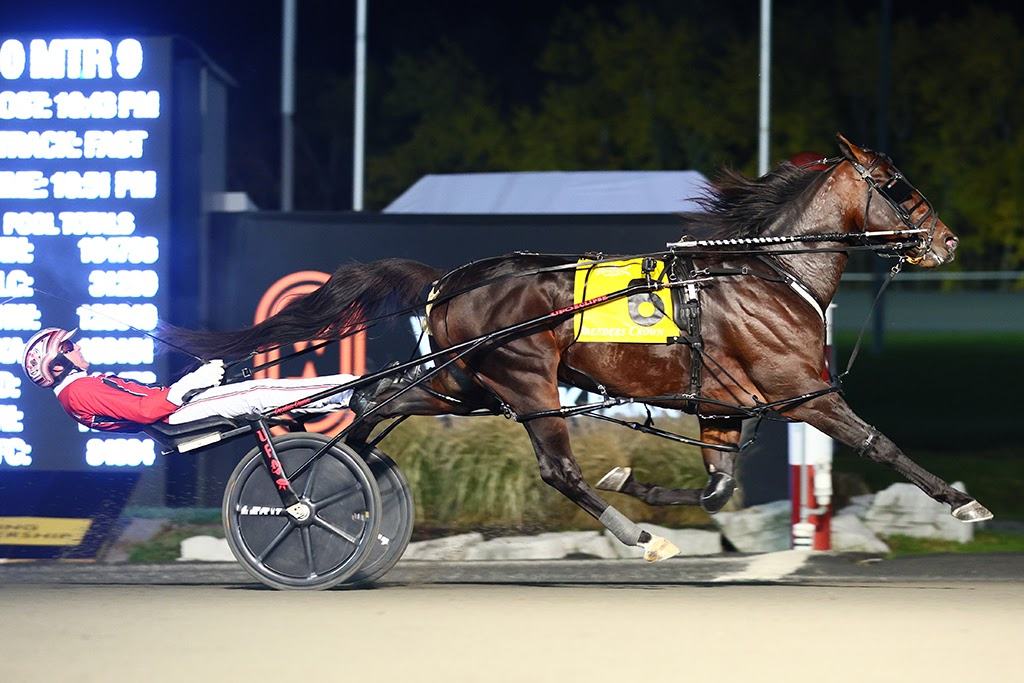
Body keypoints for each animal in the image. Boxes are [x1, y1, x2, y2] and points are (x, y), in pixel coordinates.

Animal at [174, 135, 991, 561]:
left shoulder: (725, 409)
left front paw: (636, 480)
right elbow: (880, 443)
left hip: (459, 382)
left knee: (375, 406)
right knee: (557, 468)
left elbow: (716, 487)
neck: (767, 271)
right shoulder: (804, 392)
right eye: (896, 184)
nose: (949, 240)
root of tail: (451, 278)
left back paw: (333, 484)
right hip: (525, 381)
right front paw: (962, 502)